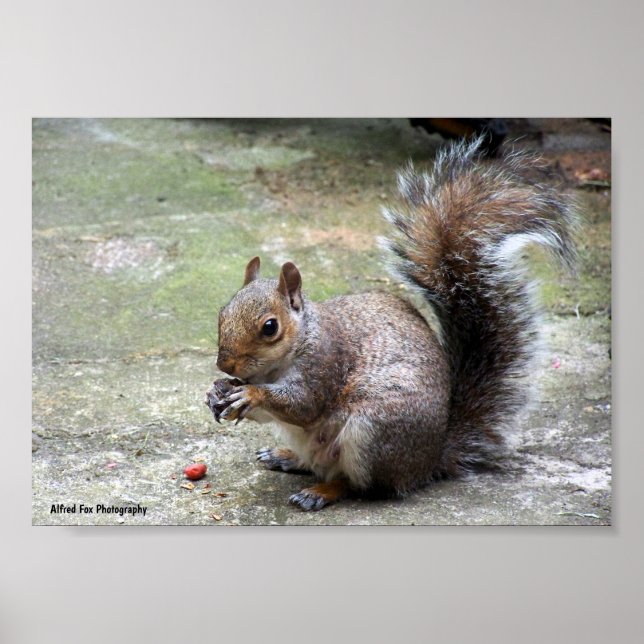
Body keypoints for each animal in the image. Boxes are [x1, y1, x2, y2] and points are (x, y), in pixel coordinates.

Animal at [205, 137, 578, 511]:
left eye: (270, 327)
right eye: (222, 313)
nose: (225, 364)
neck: (290, 351)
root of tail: (428, 463)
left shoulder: (325, 363)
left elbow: (303, 404)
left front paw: (250, 394)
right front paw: (218, 391)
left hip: (372, 432)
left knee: (359, 485)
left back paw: (321, 491)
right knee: (316, 464)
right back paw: (286, 456)